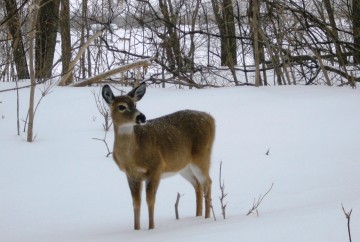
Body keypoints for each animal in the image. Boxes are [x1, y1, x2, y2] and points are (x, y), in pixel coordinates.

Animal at [101, 83, 214, 231]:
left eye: (135, 104)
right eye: (121, 106)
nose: (142, 117)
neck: (132, 156)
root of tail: (211, 119)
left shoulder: (156, 167)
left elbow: (150, 200)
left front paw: (151, 228)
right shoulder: (131, 174)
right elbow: (136, 202)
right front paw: (136, 229)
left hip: (202, 156)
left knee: (207, 182)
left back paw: (206, 218)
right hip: (183, 165)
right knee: (198, 184)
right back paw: (198, 216)